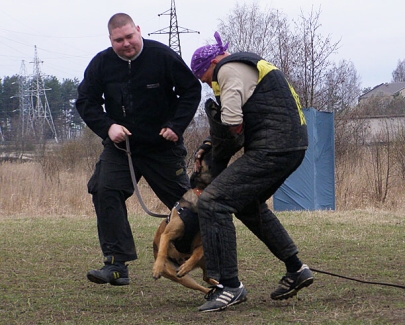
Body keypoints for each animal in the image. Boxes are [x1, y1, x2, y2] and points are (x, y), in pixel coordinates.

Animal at [152, 151, 216, 292]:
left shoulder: (201, 244)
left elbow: (197, 253)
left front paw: (186, 267)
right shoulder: (167, 234)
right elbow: (163, 250)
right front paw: (157, 268)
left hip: (202, 263)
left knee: (205, 277)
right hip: (182, 279)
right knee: (200, 282)